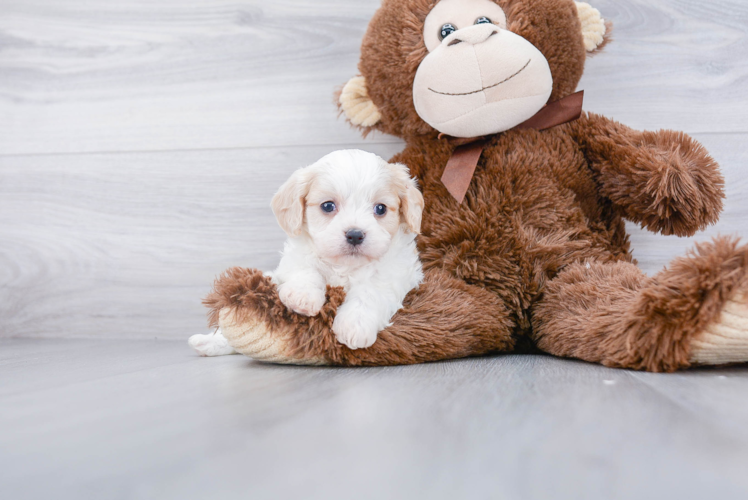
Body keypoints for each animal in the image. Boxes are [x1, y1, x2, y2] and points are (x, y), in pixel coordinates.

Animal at [190, 148, 424, 356]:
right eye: (328, 206)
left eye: (380, 209)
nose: (355, 235)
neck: (344, 266)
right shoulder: (294, 260)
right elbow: (306, 269)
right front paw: (303, 296)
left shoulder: (395, 274)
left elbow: (369, 292)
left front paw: (354, 325)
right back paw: (208, 342)